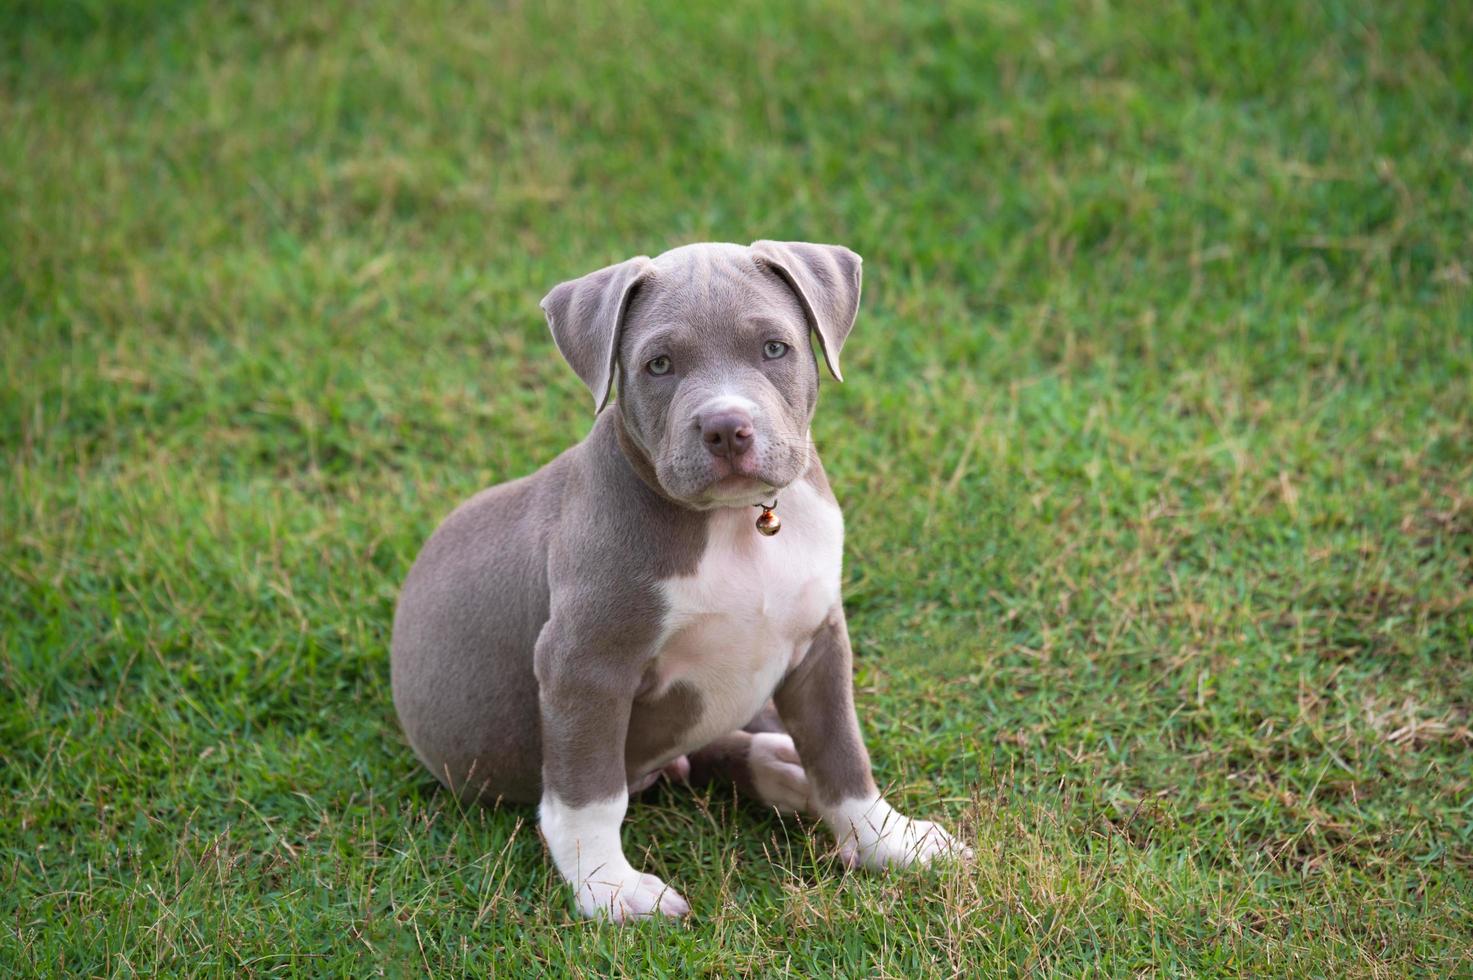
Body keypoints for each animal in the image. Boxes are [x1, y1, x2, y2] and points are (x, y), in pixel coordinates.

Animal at [391, 243, 966, 919]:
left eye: (775, 348)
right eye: (658, 365)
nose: (726, 427)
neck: (737, 526)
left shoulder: (821, 641)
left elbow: (841, 750)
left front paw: (888, 841)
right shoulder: (583, 665)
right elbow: (589, 791)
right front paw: (609, 889)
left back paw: (780, 769)